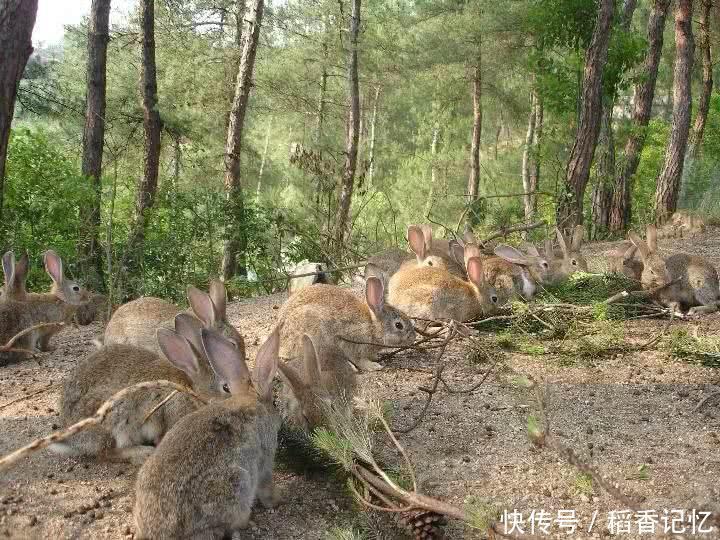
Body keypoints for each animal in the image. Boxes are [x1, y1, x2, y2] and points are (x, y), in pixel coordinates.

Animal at [48, 314, 239, 466]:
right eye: (226, 388)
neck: (191, 389)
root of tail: (73, 441)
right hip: (112, 417)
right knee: (107, 452)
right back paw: (142, 453)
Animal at [132, 324, 282, 540]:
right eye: (275, 404)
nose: (279, 418)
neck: (250, 399)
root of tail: (160, 533)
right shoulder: (265, 458)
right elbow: (266, 485)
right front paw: (278, 499)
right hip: (236, 486)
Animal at [276, 274, 414, 372]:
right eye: (398, 325)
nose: (413, 337)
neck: (372, 326)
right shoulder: (352, 343)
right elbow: (359, 360)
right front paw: (374, 366)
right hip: (315, 336)